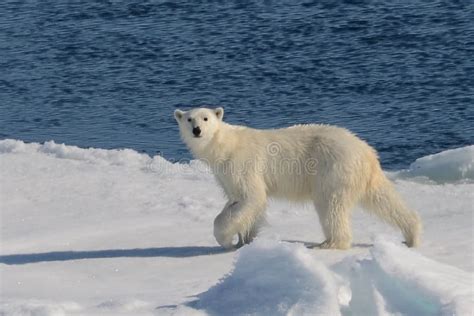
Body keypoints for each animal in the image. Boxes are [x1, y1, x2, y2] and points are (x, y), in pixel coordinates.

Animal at [174, 107, 422, 251]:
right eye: (189, 119)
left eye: (205, 118)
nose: (197, 130)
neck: (224, 146)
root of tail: (367, 152)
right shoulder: (225, 174)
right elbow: (241, 203)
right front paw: (244, 240)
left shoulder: (242, 164)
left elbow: (251, 198)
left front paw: (225, 240)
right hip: (359, 176)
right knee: (383, 199)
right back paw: (411, 234)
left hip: (332, 170)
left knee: (331, 206)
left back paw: (328, 243)